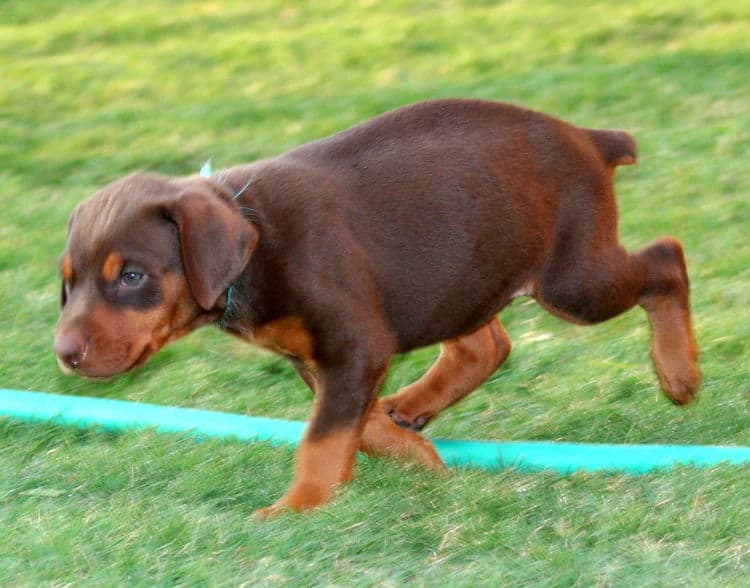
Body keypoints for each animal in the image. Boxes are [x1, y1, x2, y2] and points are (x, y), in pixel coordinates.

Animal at [55, 100, 704, 516]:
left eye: (132, 276)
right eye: (67, 284)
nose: (64, 355)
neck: (254, 239)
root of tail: (589, 138)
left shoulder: (355, 343)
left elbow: (323, 436)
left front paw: (298, 507)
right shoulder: (324, 358)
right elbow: (351, 425)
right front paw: (417, 457)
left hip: (572, 280)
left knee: (665, 260)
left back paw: (680, 373)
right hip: (463, 277)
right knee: (487, 345)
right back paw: (409, 407)